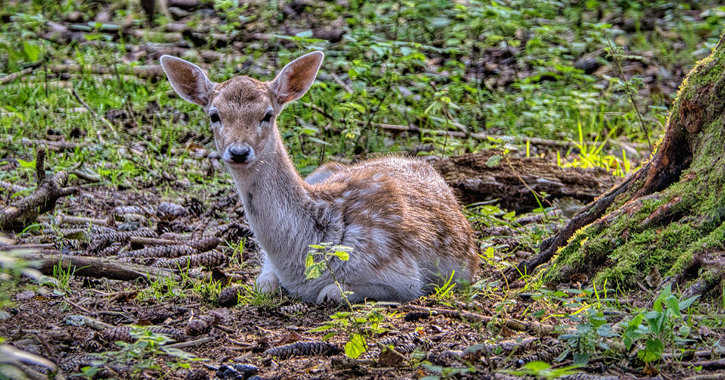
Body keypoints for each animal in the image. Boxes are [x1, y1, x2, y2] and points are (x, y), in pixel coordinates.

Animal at [160, 52, 478, 302]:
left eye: (267, 115)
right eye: (214, 115)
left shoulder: (404, 277)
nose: (238, 152)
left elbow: (331, 292)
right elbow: (264, 283)